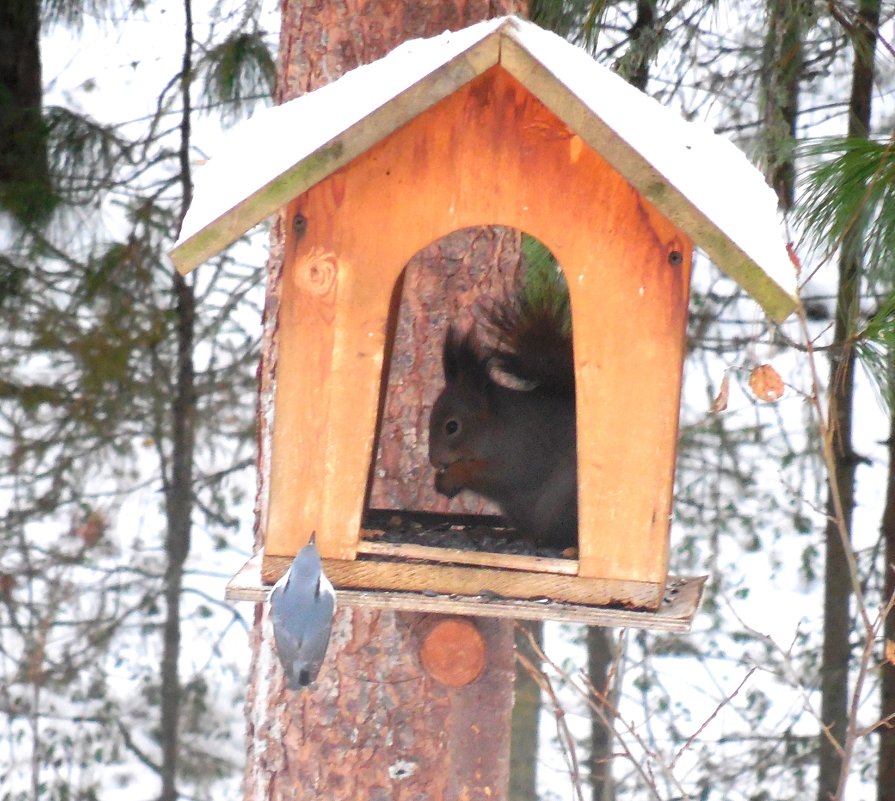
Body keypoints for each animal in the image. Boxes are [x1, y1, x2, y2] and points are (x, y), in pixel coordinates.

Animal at [428, 290, 580, 552]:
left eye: (452, 426)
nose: (433, 461)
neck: (497, 428)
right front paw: (442, 482)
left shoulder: (522, 450)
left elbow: (501, 477)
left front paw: (455, 475)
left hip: (558, 503)